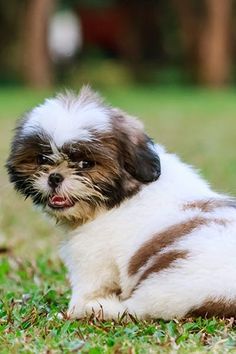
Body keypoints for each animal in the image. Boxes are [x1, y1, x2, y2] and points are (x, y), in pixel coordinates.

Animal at [6, 86, 236, 320]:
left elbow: (88, 286)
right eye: (42, 159)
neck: (126, 193)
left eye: (86, 164)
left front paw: (71, 310)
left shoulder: (92, 256)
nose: (54, 178)